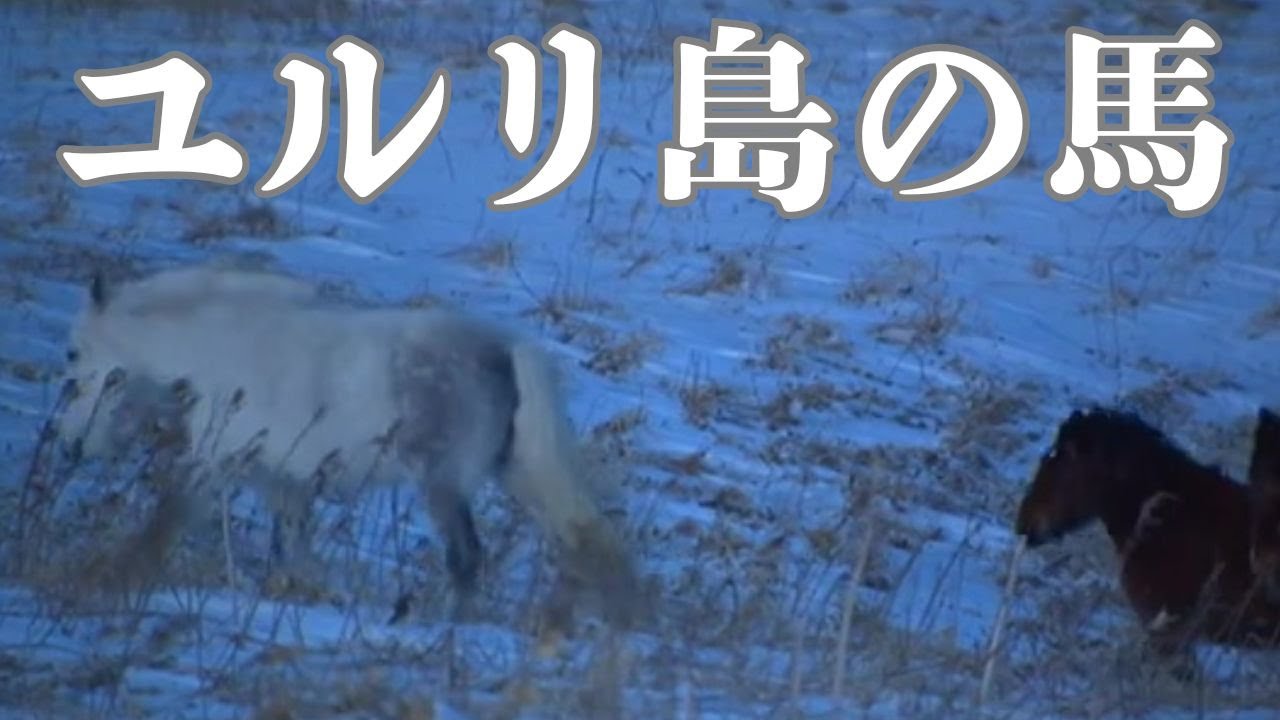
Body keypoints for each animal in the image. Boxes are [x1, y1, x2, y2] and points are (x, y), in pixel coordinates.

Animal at [56, 264, 640, 627]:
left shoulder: (216, 462)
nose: (70, 446)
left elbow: (167, 521)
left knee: (467, 558)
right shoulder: (285, 483)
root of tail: (504, 351)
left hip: (442, 485)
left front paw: (115, 579)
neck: (217, 346)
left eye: (73, 354)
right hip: (517, 477)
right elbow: (295, 555)